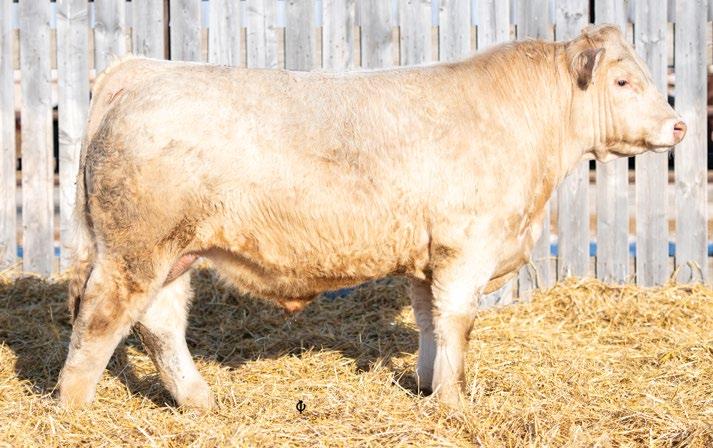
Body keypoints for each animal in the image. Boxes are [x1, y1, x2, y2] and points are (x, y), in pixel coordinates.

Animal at [58, 24, 686, 409]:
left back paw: (201, 402)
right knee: (100, 320)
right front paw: (454, 404)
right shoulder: (467, 249)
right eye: (623, 80)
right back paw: (74, 409)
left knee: (160, 322)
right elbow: (458, 322)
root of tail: (139, 70)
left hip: (174, 253)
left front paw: (429, 386)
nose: (679, 125)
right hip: (135, 250)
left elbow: (431, 324)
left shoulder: (428, 259)